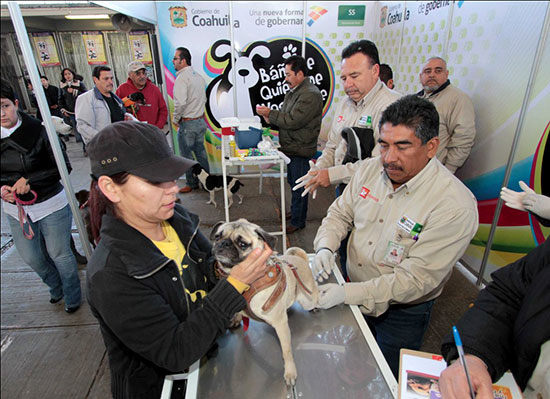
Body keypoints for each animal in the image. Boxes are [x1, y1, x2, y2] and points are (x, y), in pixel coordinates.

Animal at [212, 217, 324, 386]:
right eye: (218, 237)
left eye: (242, 244)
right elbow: (238, 311)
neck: (246, 285)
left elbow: (287, 350)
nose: (224, 243)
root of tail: (299, 259)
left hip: (307, 298)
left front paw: (290, 371)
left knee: (314, 293)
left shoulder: (281, 324)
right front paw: (237, 318)